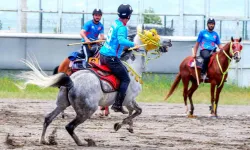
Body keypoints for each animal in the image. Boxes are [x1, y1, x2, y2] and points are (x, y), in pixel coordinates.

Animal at [17, 33, 172, 145]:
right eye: (154, 35)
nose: (169, 41)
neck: (132, 68)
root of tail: (72, 82)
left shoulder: (129, 101)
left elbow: (135, 111)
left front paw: (128, 126)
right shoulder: (128, 99)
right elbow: (136, 111)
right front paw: (120, 125)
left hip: (62, 104)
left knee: (48, 118)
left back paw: (43, 140)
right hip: (87, 111)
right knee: (69, 126)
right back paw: (83, 142)